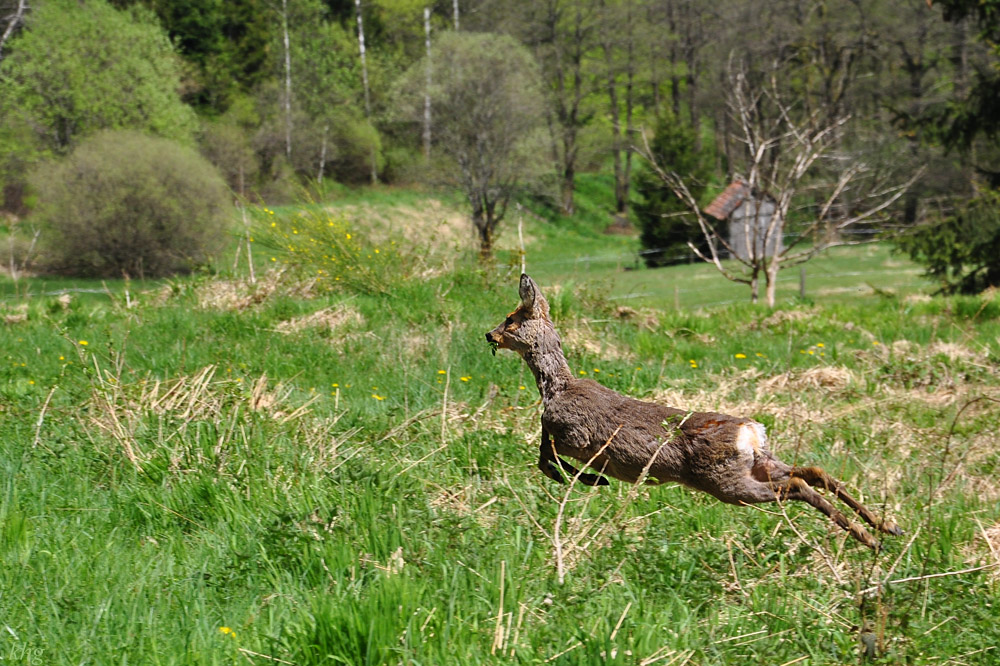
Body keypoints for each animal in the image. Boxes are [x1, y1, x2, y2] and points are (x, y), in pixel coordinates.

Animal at [486, 274, 902, 549]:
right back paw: (885, 530)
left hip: (726, 481)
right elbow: (543, 450)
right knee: (813, 472)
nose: (489, 334)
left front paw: (591, 480)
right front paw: (589, 480)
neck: (556, 388)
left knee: (797, 485)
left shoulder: (578, 435)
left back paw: (872, 539)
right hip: (758, 462)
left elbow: (545, 453)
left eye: (511, 319)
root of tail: (750, 431)